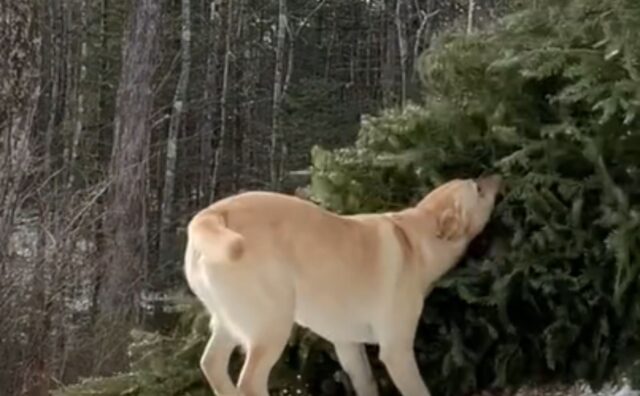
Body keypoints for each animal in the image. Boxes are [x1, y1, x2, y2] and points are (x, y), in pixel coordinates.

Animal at [182, 176, 502, 396]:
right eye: (478, 188)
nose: (496, 175)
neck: (413, 239)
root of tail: (213, 214)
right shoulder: (396, 349)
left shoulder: (348, 345)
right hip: (272, 324)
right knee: (249, 382)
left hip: (230, 322)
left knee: (211, 365)